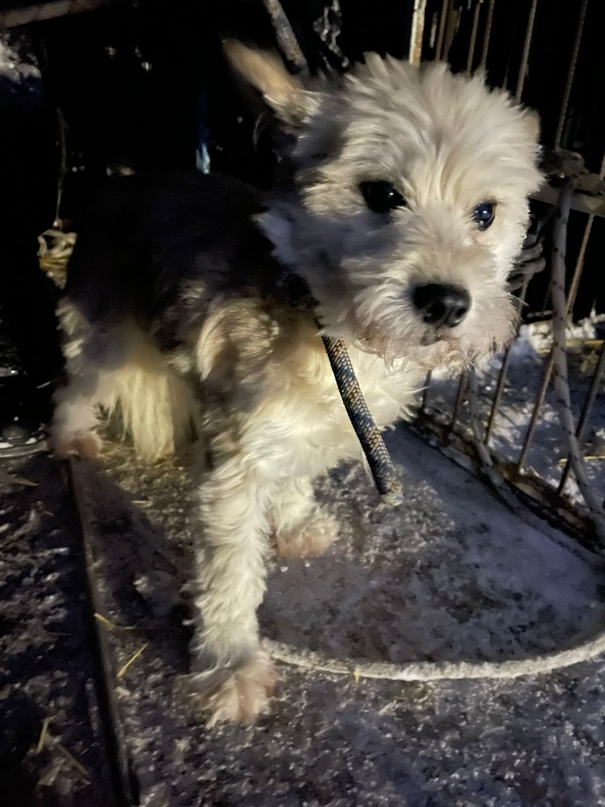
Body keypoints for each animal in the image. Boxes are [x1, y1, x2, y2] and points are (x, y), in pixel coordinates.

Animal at [51, 43, 543, 725]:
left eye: (486, 213)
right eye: (382, 193)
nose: (446, 303)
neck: (323, 320)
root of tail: (125, 180)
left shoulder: (312, 424)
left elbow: (295, 469)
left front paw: (292, 519)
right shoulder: (235, 465)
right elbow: (230, 572)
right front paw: (229, 665)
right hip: (106, 335)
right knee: (75, 383)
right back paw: (70, 435)